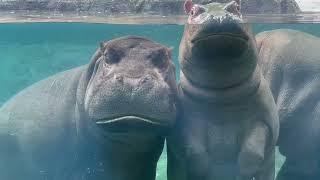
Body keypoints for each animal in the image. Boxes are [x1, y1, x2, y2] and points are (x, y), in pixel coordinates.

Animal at [166, 0, 278, 179]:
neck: (221, 93)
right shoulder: (187, 121)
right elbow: (193, 150)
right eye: (192, 11)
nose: (218, 16)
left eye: (237, 7)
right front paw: (202, 170)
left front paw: (243, 172)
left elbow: (252, 149)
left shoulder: (263, 120)